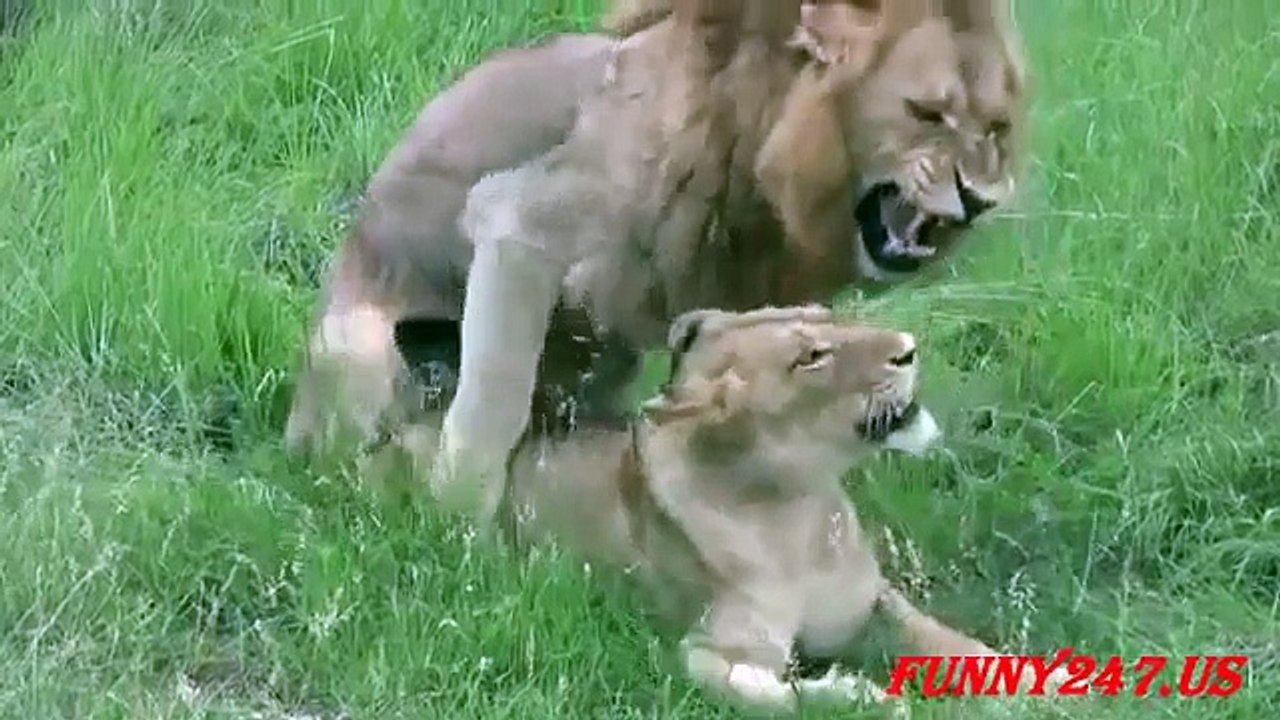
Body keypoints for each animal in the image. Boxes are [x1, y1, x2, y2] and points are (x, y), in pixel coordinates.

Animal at [386, 304, 1068, 712]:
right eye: (810, 357)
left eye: (827, 315)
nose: (908, 347)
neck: (799, 515)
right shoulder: (702, 650)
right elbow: (777, 694)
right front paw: (862, 696)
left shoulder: (876, 604)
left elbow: (957, 643)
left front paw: (1051, 682)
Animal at [427, 0, 1029, 521]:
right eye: (927, 113)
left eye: (996, 127)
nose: (980, 199)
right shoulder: (521, 219)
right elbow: (494, 396)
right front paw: (461, 529)